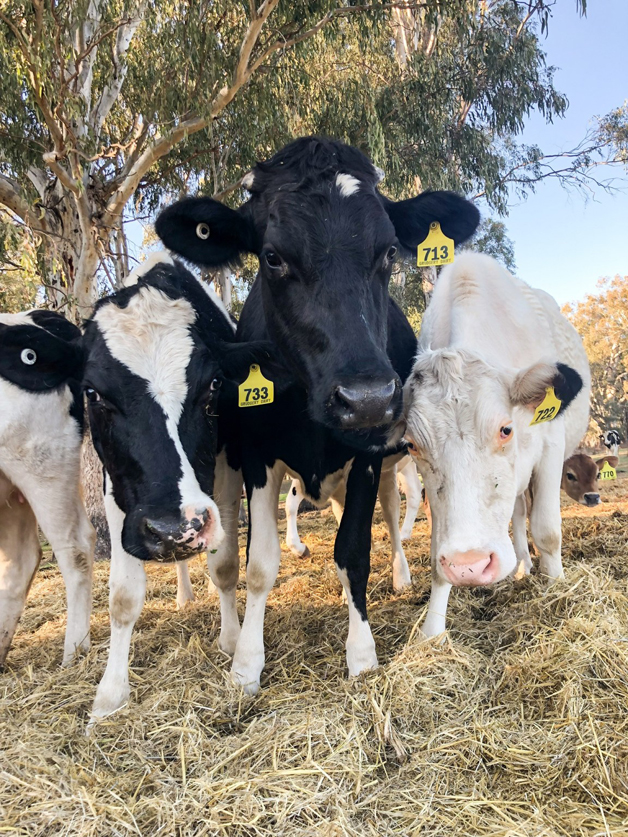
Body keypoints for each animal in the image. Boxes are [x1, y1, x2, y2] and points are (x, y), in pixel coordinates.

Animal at [82, 252, 270, 725]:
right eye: (93, 392)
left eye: (215, 385)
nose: (172, 529)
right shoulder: (119, 494)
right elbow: (123, 596)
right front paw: (110, 694)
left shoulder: (226, 474)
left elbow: (225, 566)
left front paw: (231, 640)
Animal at [156, 135, 479, 694]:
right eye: (271, 257)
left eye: (388, 251)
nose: (367, 397)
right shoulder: (258, 458)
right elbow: (260, 565)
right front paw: (246, 664)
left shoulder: (368, 456)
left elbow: (354, 551)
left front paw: (362, 653)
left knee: (393, 514)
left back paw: (400, 575)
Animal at [403, 252, 589, 637]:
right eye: (411, 445)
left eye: (505, 430)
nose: (469, 566)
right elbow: (437, 557)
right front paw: (431, 632)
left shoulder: (551, 447)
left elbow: (547, 529)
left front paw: (558, 589)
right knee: (516, 513)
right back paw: (521, 566)